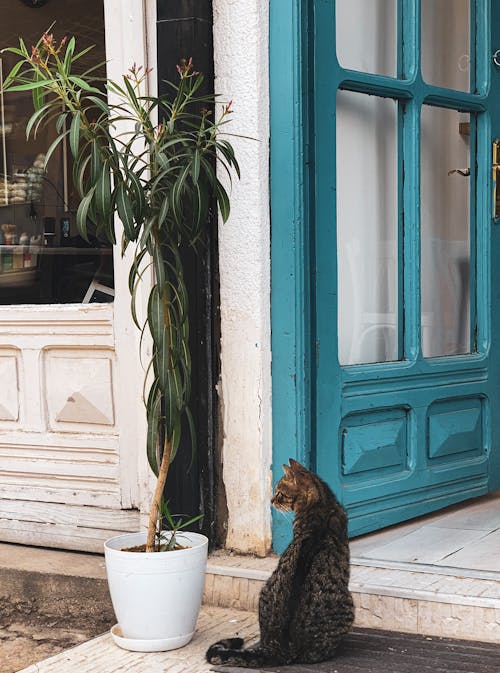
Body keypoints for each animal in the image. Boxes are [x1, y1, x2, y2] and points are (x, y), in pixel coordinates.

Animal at [205, 456, 354, 668]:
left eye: (280, 493)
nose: (271, 500)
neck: (320, 504)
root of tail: (276, 648)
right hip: (348, 605)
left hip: (265, 591)